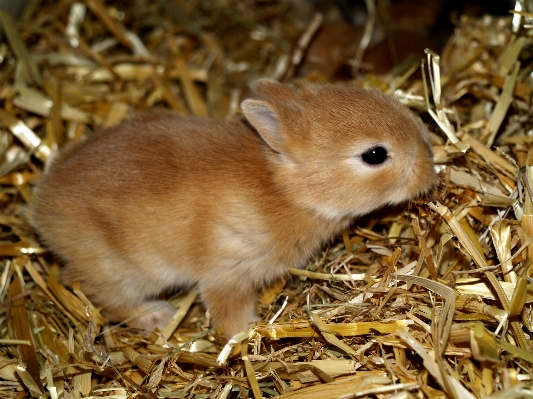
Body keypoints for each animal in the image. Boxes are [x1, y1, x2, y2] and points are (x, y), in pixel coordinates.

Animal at [31, 79, 434, 340]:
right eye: (375, 155)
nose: (429, 169)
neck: (285, 188)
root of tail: (43, 212)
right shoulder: (229, 270)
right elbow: (229, 311)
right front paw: (247, 334)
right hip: (121, 271)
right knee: (95, 293)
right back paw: (159, 317)